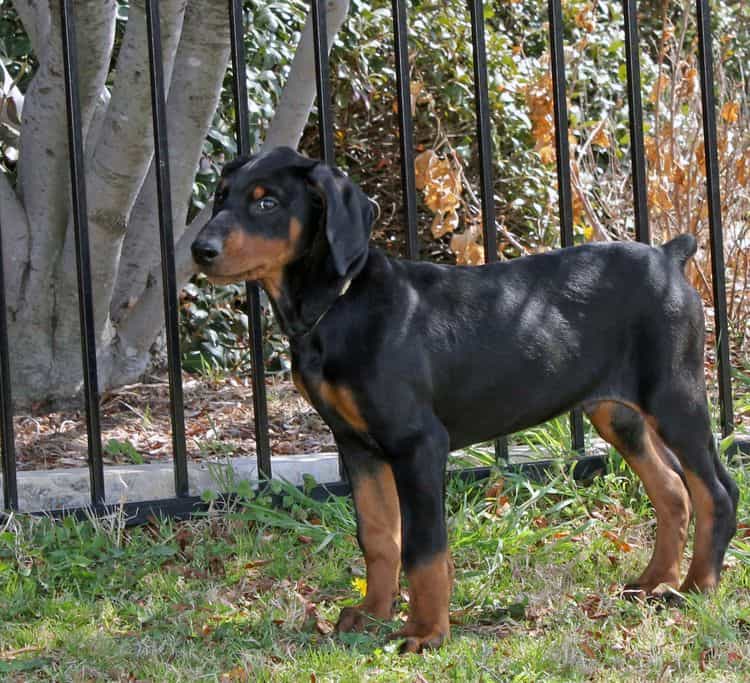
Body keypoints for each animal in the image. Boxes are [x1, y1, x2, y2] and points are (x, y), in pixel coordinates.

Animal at [192, 148, 740, 652]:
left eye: (266, 202)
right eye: (221, 197)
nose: (200, 249)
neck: (339, 305)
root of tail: (669, 256)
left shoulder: (417, 444)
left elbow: (424, 547)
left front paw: (425, 632)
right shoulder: (357, 445)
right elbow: (379, 536)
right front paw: (372, 614)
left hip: (674, 397)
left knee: (715, 490)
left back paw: (695, 587)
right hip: (618, 412)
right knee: (672, 490)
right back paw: (655, 581)